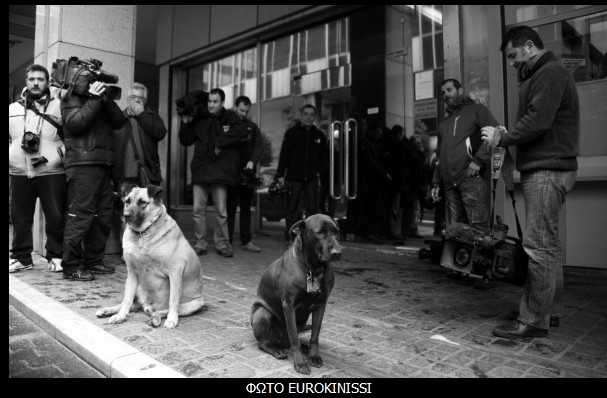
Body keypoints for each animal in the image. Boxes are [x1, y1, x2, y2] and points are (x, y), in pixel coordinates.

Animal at [96, 185, 205, 328]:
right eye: (127, 201)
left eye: (142, 202)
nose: (126, 216)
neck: (142, 233)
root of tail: (148, 306)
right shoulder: (132, 274)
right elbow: (127, 299)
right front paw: (120, 316)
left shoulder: (175, 273)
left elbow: (173, 301)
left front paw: (172, 319)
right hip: (138, 288)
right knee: (131, 304)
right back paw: (109, 311)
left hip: (196, 303)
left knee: (163, 310)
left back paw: (156, 317)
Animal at [249, 215, 340, 374]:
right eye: (319, 232)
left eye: (336, 232)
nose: (337, 253)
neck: (313, 270)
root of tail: (280, 342)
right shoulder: (289, 305)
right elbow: (294, 339)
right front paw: (300, 363)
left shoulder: (321, 305)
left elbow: (314, 335)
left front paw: (314, 355)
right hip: (262, 313)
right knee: (264, 343)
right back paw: (276, 350)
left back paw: (305, 348)